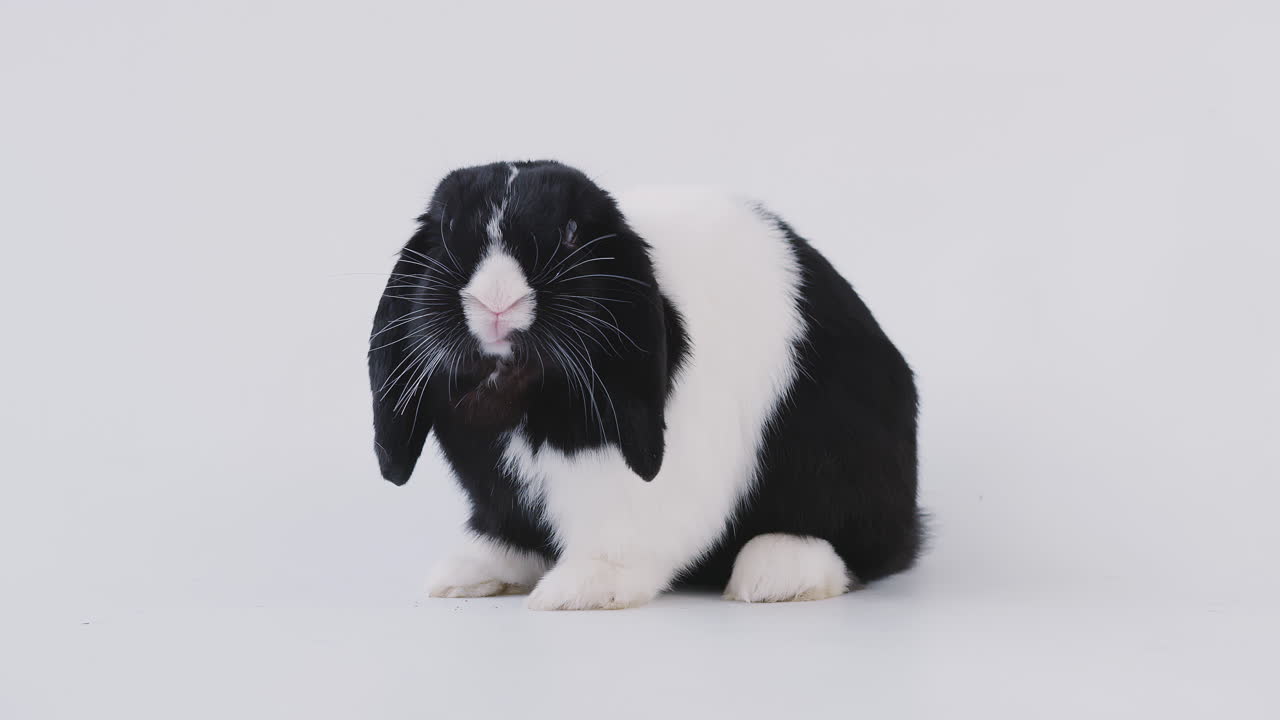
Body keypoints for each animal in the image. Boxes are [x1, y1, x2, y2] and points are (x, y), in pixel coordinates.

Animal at [369, 160, 922, 610]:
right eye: (446, 228)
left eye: (571, 232)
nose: (496, 300)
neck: (524, 398)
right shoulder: (496, 490)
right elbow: (506, 532)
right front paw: (469, 575)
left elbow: (624, 537)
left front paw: (580, 589)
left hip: (840, 465)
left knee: (853, 545)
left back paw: (775, 574)